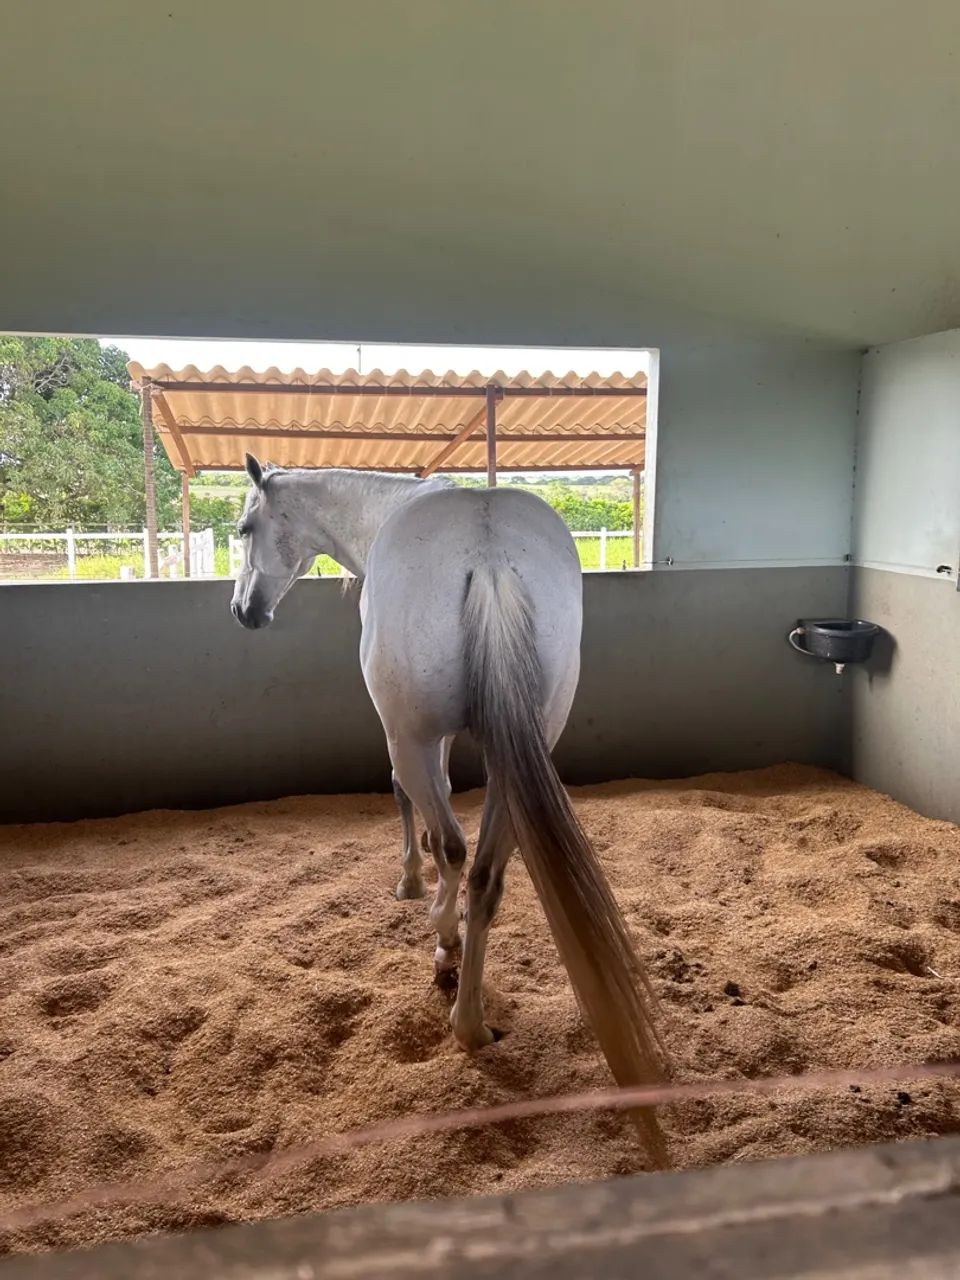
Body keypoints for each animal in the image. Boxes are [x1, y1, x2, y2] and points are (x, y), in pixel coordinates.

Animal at [231, 455, 669, 1165]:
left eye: (245, 528)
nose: (244, 610)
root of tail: (487, 555)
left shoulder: (414, 739)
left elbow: (417, 813)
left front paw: (414, 886)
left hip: (413, 736)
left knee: (457, 845)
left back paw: (446, 956)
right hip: (521, 753)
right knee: (487, 875)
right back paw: (470, 1022)